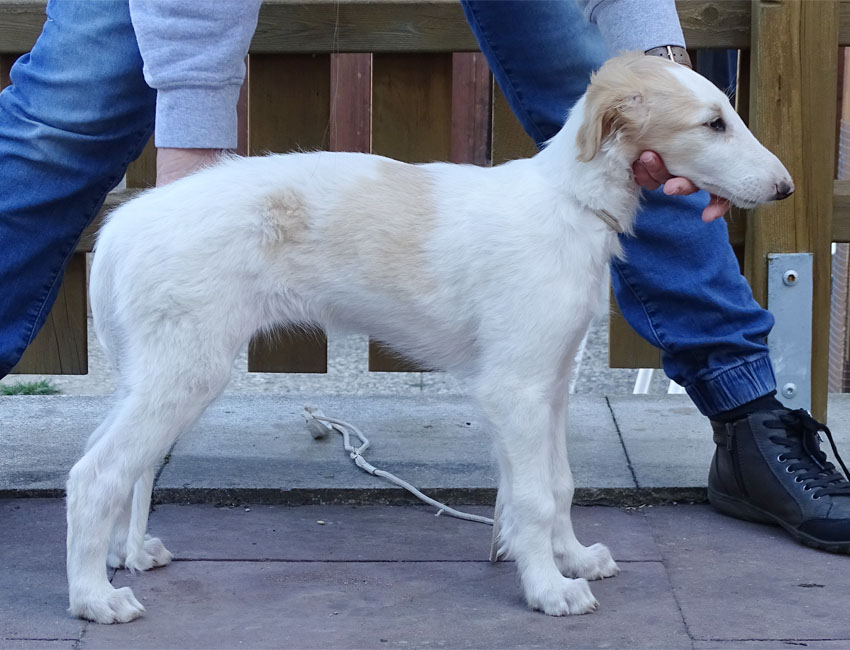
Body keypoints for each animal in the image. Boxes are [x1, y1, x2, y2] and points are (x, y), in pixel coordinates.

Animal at [66, 53, 793, 623]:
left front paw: (573, 559)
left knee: (122, 471)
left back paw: (124, 557)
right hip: (184, 372)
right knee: (94, 474)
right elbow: (532, 497)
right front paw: (548, 589)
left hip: (152, 374)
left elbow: (557, 485)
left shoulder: (551, 385)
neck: (567, 201)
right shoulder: (513, 389)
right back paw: (93, 597)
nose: (786, 188)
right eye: (713, 123)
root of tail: (125, 222)